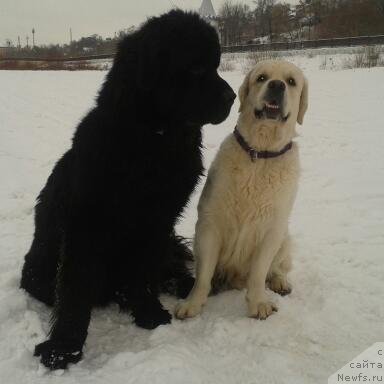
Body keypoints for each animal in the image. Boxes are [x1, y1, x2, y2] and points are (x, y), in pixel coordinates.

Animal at [19, 9, 236, 368]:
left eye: (216, 64)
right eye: (195, 68)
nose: (232, 97)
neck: (153, 142)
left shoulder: (160, 219)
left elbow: (143, 271)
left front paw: (148, 311)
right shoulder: (85, 222)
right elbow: (75, 287)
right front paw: (64, 347)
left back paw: (192, 285)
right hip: (38, 271)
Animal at [176, 59, 308, 318]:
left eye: (291, 81)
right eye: (261, 78)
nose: (276, 85)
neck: (260, 153)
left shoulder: (271, 230)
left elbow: (258, 272)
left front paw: (258, 303)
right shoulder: (209, 224)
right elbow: (203, 274)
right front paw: (192, 303)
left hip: (284, 236)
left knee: (279, 266)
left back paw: (279, 281)